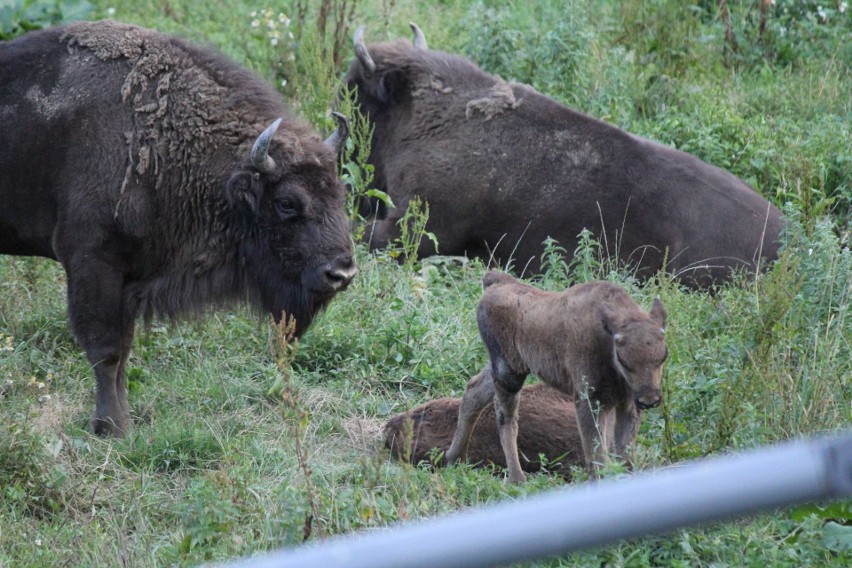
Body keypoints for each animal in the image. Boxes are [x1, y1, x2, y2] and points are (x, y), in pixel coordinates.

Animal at [446, 272, 664, 484]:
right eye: (623, 359)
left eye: (663, 357)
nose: (650, 399)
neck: (606, 336)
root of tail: (497, 282)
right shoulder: (589, 401)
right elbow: (596, 454)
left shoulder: (627, 404)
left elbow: (624, 453)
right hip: (508, 373)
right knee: (506, 418)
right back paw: (517, 479)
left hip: (506, 370)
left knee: (474, 390)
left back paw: (454, 458)